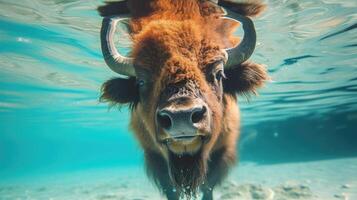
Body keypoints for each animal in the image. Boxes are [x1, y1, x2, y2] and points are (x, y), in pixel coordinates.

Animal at [97, 0, 268, 199]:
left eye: (218, 74)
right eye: (141, 81)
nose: (181, 117)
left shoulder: (222, 151)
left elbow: (208, 185)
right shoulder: (155, 157)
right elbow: (172, 189)